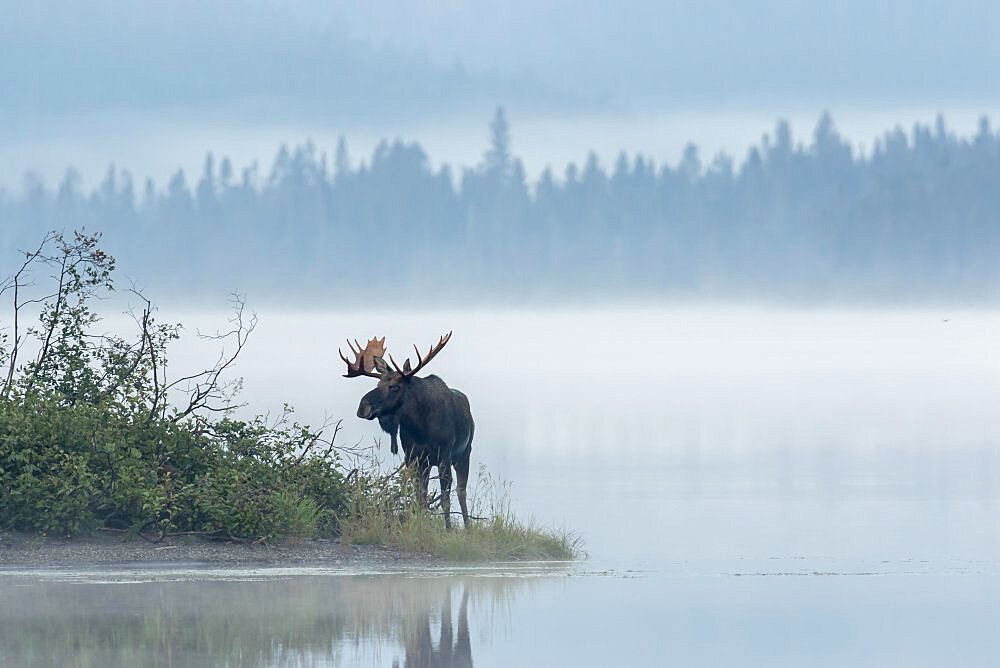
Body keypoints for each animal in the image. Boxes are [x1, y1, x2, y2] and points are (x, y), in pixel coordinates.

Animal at [338, 332, 474, 528]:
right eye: (378, 384)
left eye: (395, 387)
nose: (363, 407)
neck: (420, 427)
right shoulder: (413, 458)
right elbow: (419, 498)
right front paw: (419, 525)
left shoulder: (444, 456)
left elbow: (445, 499)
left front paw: (448, 529)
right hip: (429, 463)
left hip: (464, 453)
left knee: (461, 491)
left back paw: (468, 527)